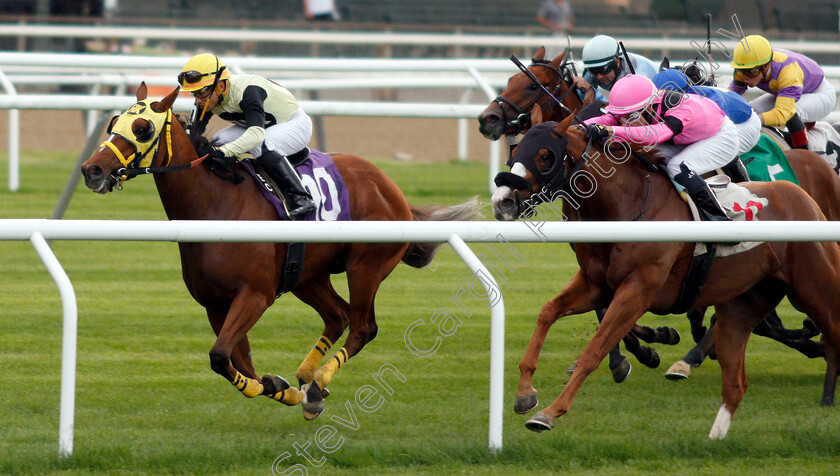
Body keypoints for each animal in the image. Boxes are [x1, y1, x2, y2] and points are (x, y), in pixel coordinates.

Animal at [83, 84, 486, 420]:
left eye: (143, 129)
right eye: (114, 122)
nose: (92, 170)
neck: (216, 204)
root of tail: (392, 188)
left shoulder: (255, 295)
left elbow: (220, 356)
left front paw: (286, 389)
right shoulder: (215, 304)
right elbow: (236, 362)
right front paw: (282, 388)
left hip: (365, 267)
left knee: (362, 327)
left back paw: (319, 381)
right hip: (307, 275)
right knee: (337, 315)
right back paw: (310, 382)